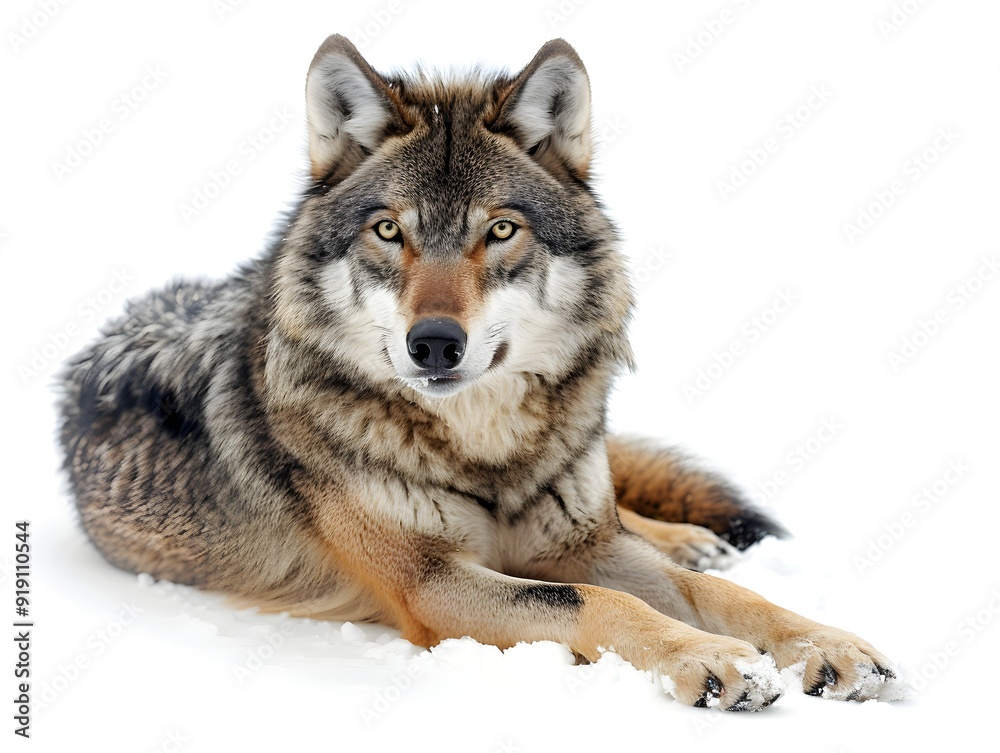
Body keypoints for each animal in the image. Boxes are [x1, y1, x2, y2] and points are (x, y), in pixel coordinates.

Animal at [59, 35, 897, 710]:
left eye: (499, 230)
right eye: (388, 230)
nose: (434, 343)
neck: (485, 449)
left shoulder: (581, 544)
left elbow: (720, 591)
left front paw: (828, 643)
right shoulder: (429, 582)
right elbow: (590, 601)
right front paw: (708, 658)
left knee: (635, 512)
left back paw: (690, 536)